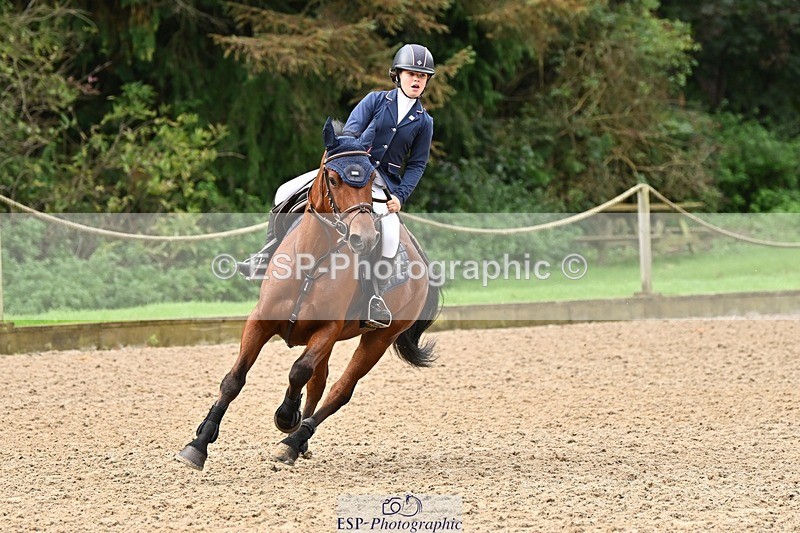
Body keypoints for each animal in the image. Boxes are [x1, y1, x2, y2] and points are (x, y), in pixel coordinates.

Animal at [176, 119, 441, 469]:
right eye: (333, 178)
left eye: (371, 180)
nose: (365, 238)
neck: (311, 258)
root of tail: (420, 254)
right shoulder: (260, 321)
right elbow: (234, 379)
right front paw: (198, 443)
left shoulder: (326, 330)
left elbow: (298, 370)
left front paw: (287, 416)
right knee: (319, 382)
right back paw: (298, 443)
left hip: (379, 338)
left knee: (339, 390)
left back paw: (292, 441)